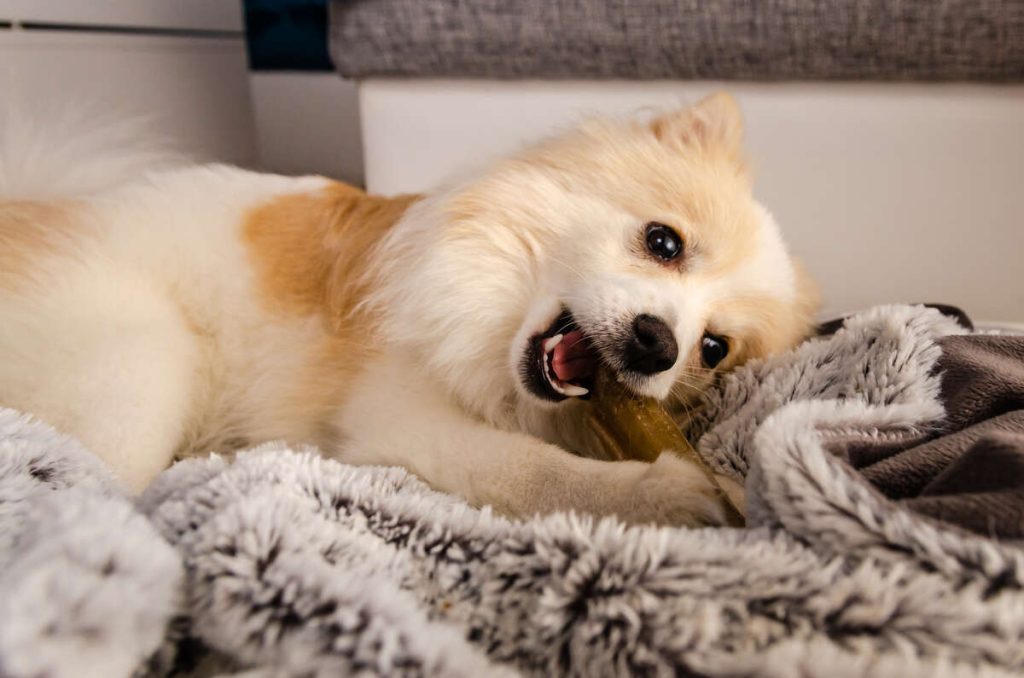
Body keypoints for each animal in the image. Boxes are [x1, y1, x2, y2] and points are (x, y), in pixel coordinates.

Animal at [0, 91, 815, 524]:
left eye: (713, 349)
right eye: (663, 241)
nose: (657, 345)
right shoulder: (394, 416)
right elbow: (528, 470)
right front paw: (663, 494)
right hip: (140, 370)